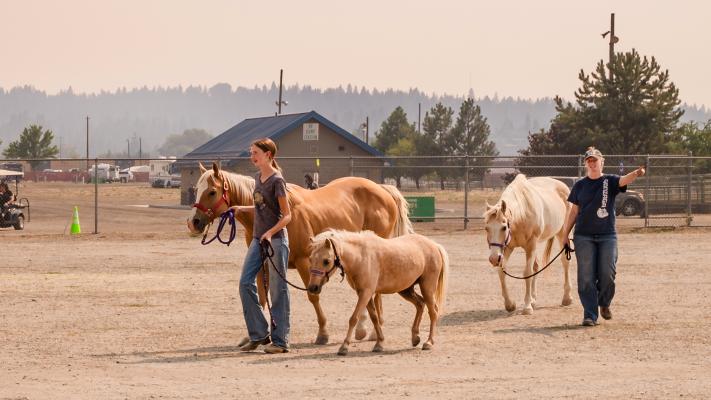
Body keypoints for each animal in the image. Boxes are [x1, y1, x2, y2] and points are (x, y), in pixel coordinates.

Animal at [187, 162, 414, 345]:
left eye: (212, 192)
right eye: (197, 189)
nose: (193, 222)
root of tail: (383, 190)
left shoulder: (306, 262)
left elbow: (313, 297)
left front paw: (323, 333)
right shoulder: (263, 263)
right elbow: (262, 296)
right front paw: (256, 337)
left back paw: (366, 330)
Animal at [307, 229, 448, 355]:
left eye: (326, 261)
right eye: (310, 259)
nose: (313, 288)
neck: (361, 257)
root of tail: (434, 245)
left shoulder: (366, 293)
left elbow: (354, 318)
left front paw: (344, 347)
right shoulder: (365, 294)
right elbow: (374, 318)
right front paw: (379, 343)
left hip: (427, 288)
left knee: (433, 311)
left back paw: (429, 342)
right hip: (406, 290)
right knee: (420, 304)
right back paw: (415, 338)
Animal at [483, 174, 573, 314]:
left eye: (504, 227)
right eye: (486, 228)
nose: (493, 258)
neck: (522, 214)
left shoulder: (530, 245)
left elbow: (527, 272)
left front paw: (527, 307)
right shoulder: (507, 248)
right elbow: (502, 272)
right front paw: (510, 304)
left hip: (562, 234)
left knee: (565, 262)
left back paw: (567, 298)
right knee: (537, 267)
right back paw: (533, 299)